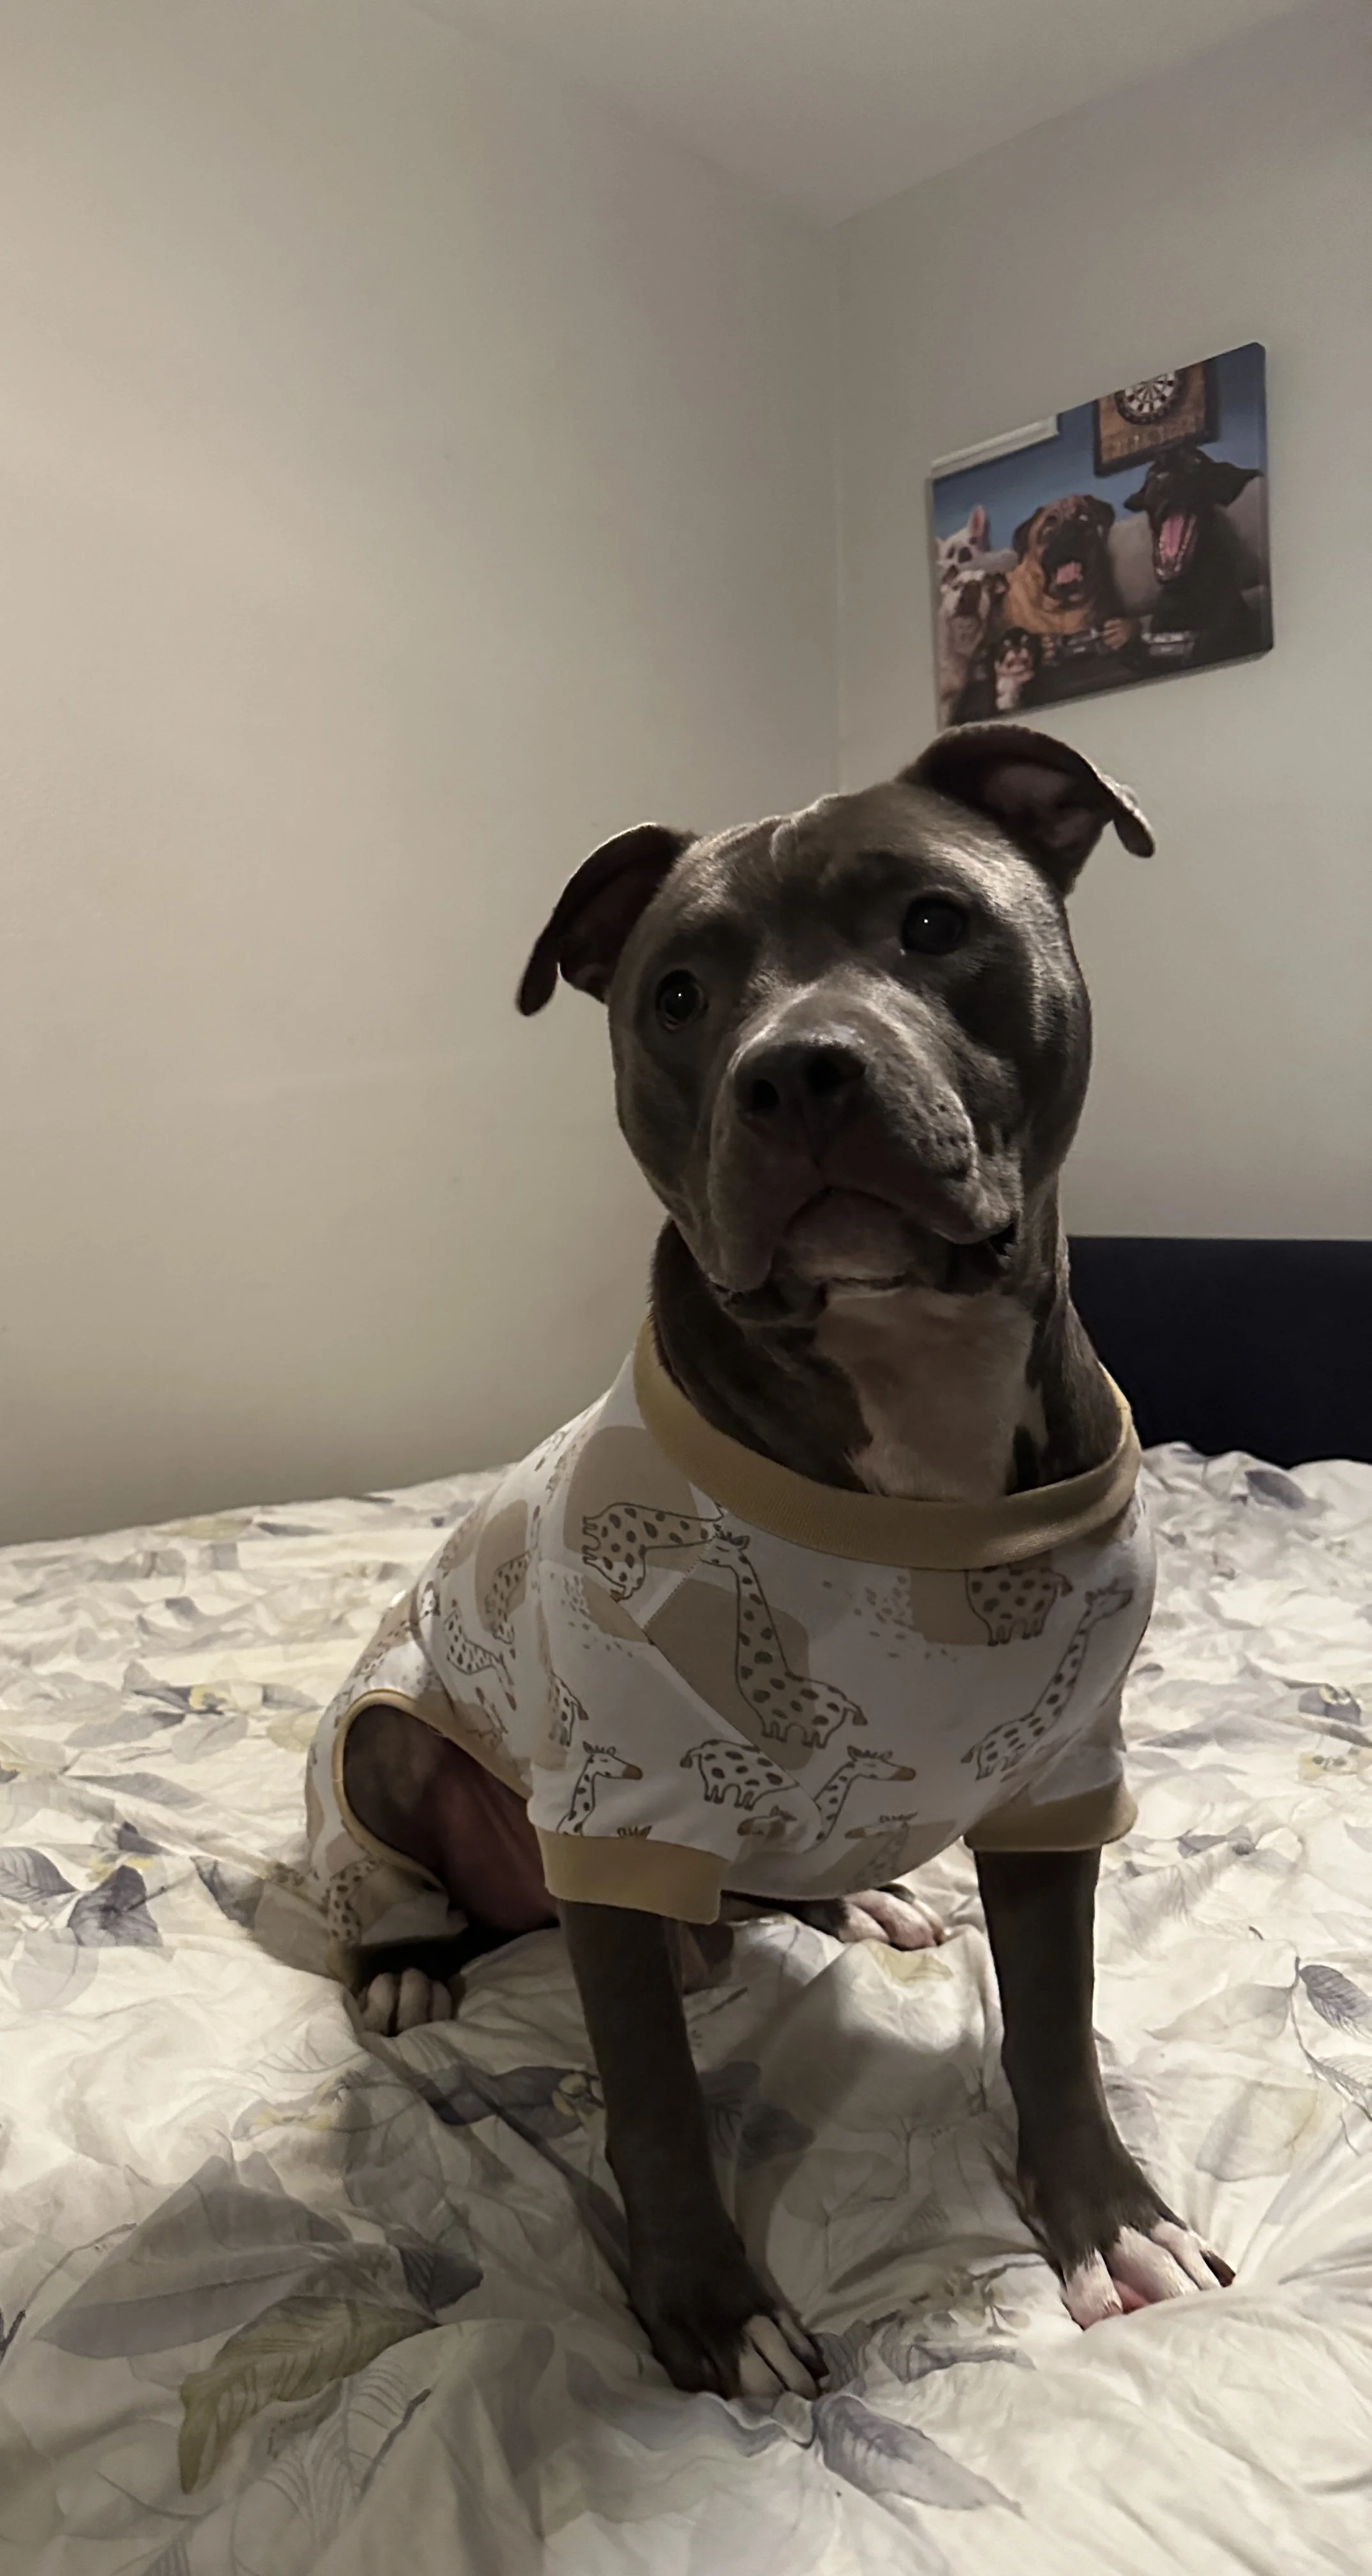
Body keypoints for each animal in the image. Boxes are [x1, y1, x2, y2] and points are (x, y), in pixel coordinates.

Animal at [703, 1529, 867, 1749]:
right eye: (715, 1542)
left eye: (723, 1549)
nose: (704, 1556)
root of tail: (845, 1701)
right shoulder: (766, 1714)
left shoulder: (775, 1714)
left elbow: (779, 1730)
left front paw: (777, 1740)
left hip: (825, 1724)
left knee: (820, 1737)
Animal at [962, 1583, 1133, 1785]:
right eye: (1105, 1601)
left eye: (1112, 1593)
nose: (1128, 1595)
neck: (1041, 1717)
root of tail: (980, 1744)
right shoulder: (1023, 1750)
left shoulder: (1020, 1752)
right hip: (987, 1762)